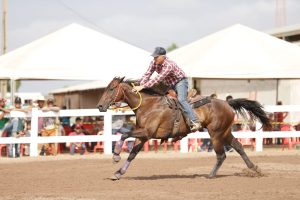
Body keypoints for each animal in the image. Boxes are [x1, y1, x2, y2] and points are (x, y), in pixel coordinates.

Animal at [97, 76, 270, 180]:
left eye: (111, 89)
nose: (99, 106)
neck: (148, 105)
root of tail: (227, 103)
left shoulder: (147, 132)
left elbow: (123, 134)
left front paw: (116, 156)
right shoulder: (144, 136)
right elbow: (132, 154)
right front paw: (118, 173)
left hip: (216, 134)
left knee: (221, 155)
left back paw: (210, 175)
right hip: (225, 132)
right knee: (239, 147)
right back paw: (254, 168)